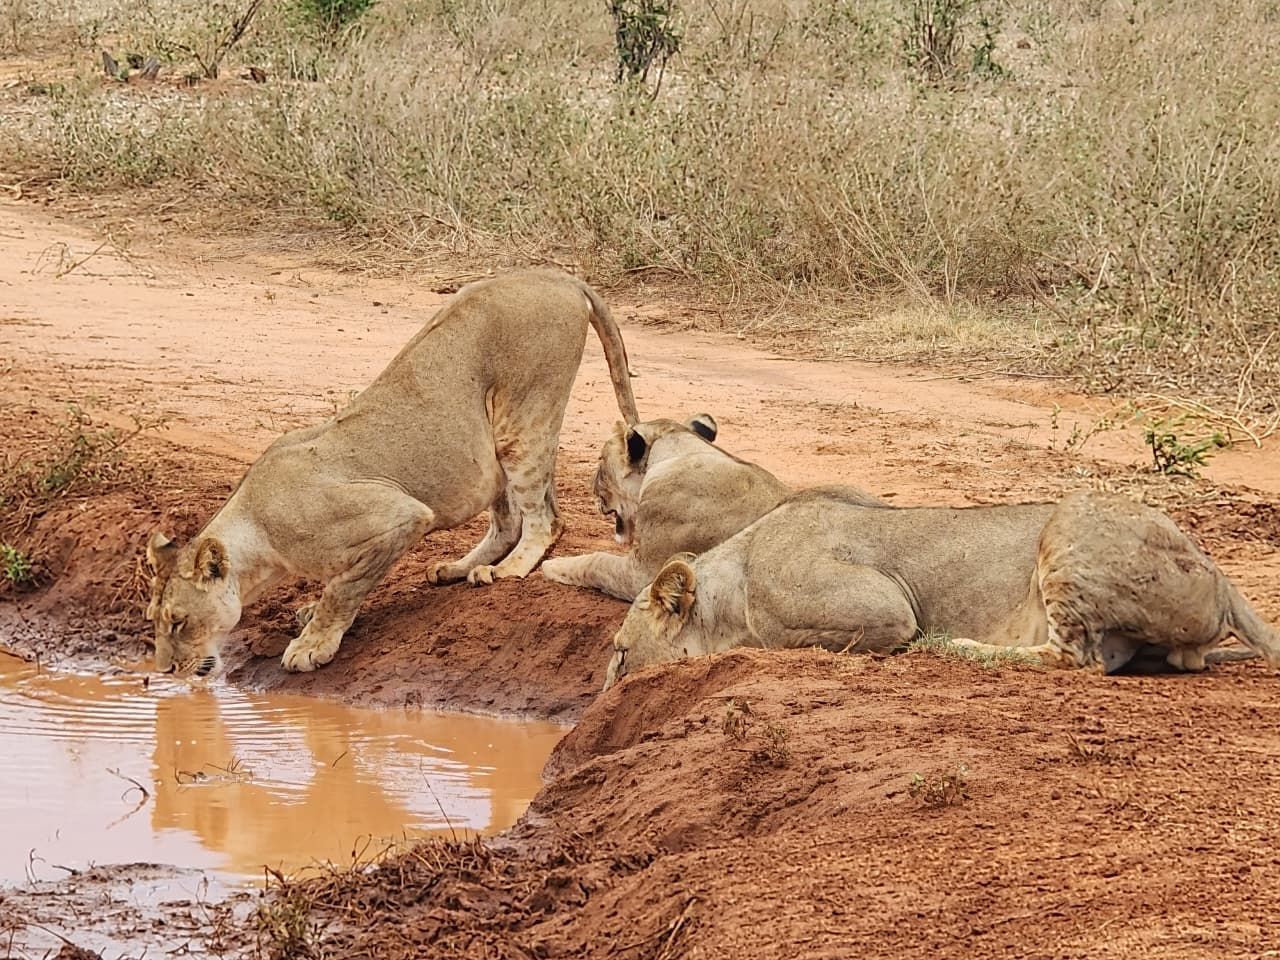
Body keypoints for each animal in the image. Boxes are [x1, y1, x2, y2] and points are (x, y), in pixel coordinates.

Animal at [145, 269, 639, 678]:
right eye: (154, 621)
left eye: (178, 621)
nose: (165, 670)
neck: (260, 538)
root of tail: (556, 275)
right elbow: (343, 584)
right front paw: (310, 615)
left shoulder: (399, 517)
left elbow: (343, 589)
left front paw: (311, 643)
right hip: (490, 447)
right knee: (509, 521)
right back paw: (458, 568)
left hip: (523, 416)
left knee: (546, 520)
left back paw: (507, 571)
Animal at [604, 488, 1280, 688]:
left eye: (619, 656)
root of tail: (1218, 570)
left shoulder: (885, 608)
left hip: (1068, 521)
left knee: (1078, 659)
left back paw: (960, 648)